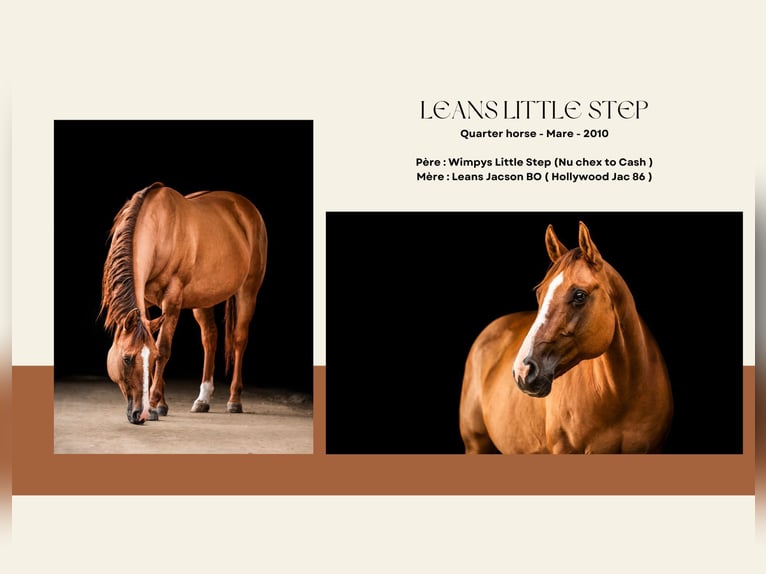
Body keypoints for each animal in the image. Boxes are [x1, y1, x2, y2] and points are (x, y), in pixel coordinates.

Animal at [100, 182, 267, 424]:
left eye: (149, 358)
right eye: (127, 358)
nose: (139, 414)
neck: (159, 226)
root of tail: (247, 208)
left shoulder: (172, 299)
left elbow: (164, 347)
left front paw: (154, 405)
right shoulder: (148, 303)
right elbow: (158, 341)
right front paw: (161, 405)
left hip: (248, 291)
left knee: (239, 339)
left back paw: (234, 400)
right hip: (204, 298)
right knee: (210, 338)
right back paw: (203, 399)